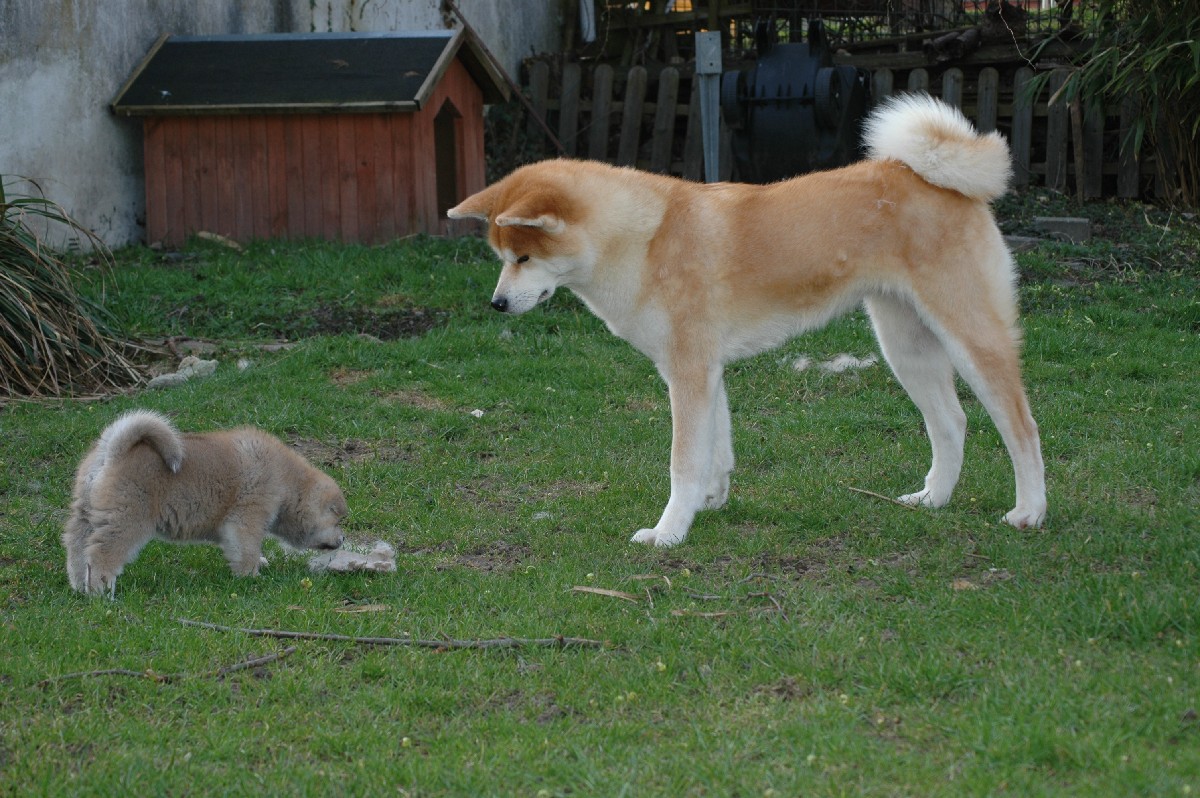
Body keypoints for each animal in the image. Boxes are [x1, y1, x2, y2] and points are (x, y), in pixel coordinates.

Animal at [63, 410, 347, 596]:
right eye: (337, 520)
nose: (343, 539)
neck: (287, 481)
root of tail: (114, 451)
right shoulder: (247, 519)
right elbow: (247, 549)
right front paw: (251, 576)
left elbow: (241, 549)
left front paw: (259, 564)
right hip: (126, 520)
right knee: (102, 554)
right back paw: (100, 592)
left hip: (86, 515)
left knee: (77, 548)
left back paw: (79, 585)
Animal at [448, 94, 1046, 547]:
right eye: (501, 257)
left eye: (524, 258)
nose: (497, 305)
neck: (643, 239)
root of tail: (940, 180)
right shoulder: (701, 372)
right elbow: (717, 451)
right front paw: (709, 503)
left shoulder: (688, 374)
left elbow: (682, 463)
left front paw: (668, 533)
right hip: (906, 347)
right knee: (951, 423)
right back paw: (933, 499)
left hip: (970, 338)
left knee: (1022, 426)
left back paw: (1030, 512)